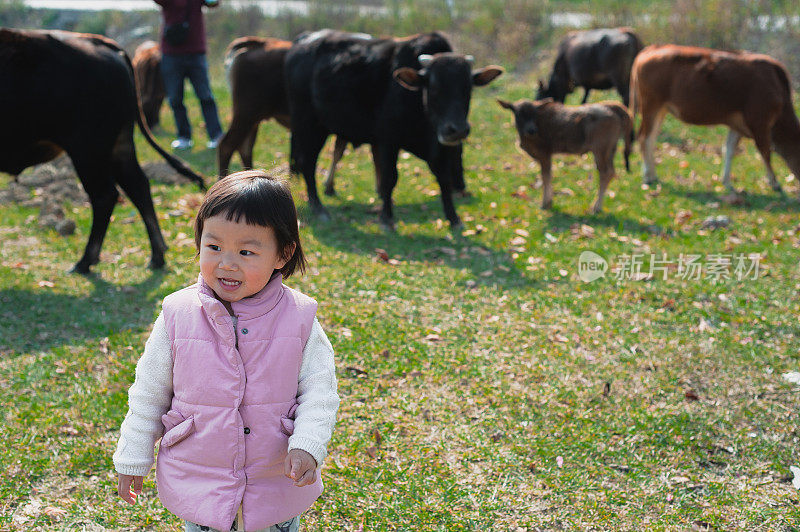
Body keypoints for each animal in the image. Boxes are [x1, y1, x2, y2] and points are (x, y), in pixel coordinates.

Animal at [0, 28, 206, 274]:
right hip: (120, 145)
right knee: (138, 187)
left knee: (105, 195)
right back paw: (156, 256)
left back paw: (85, 261)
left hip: (87, 151)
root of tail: (101, 43)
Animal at [217, 35, 348, 193]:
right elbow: (337, 152)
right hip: (246, 112)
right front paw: (328, 186)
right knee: (226, 145)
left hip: (253, 118)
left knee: (244, 147)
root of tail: (259, 42)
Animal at [284, 29, 504, 229]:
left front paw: (454, 218)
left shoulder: (441, 146)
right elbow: (389, 178)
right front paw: (386, 218)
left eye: (468, 89)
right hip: (308, 126)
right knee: (307, 164)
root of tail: (302, 43)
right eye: (434, 87)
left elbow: (444, 178)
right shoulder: (388, 141)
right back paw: (318, 207)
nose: (457, 130)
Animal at [500, 97, 632, 212]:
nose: (531, 130)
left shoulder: (544, 154)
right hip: (610, 150)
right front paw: (549, 202)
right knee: (611, 172)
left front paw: (545, 203)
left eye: (534, 114)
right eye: (518, 114)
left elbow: (545, 176)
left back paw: (596, 207)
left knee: (605, 173)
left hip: (600, 150)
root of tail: (613, 107)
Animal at [632, 45, 800, 195]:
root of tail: (651, 49)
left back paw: (651, 174)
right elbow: (765, 151)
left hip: (661, 110)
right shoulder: (760, 122)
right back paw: (648, 177)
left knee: (651, 138)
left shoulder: (737, 125)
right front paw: (775, 183)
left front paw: (727, 182)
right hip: (652, 106)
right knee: (645, 138)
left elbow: (729, 150)